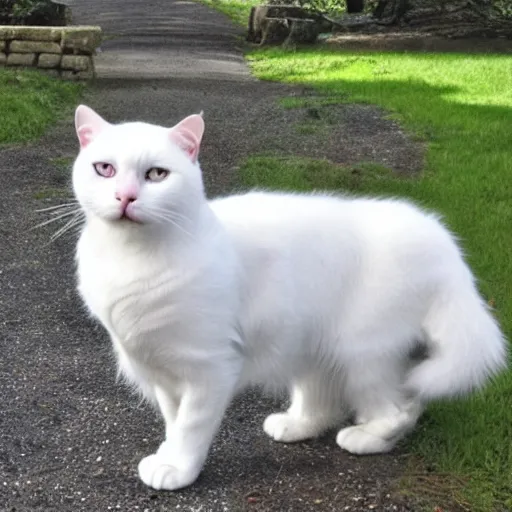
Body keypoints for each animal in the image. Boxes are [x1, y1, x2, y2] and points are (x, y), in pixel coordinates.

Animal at [72, 105, 508, 492]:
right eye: (104, 169)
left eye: (156, 175)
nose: (125, 197)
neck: (132, 259)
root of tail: (442, 239)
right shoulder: (163, 369)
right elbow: (171, 420)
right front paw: (167, 454)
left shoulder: (208, 369)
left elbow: (190, 427)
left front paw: (178, 469)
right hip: (315, 346)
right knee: (326, 403)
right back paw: (294, 425)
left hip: (362, 352)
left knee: (405, 406)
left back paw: (367, 437)